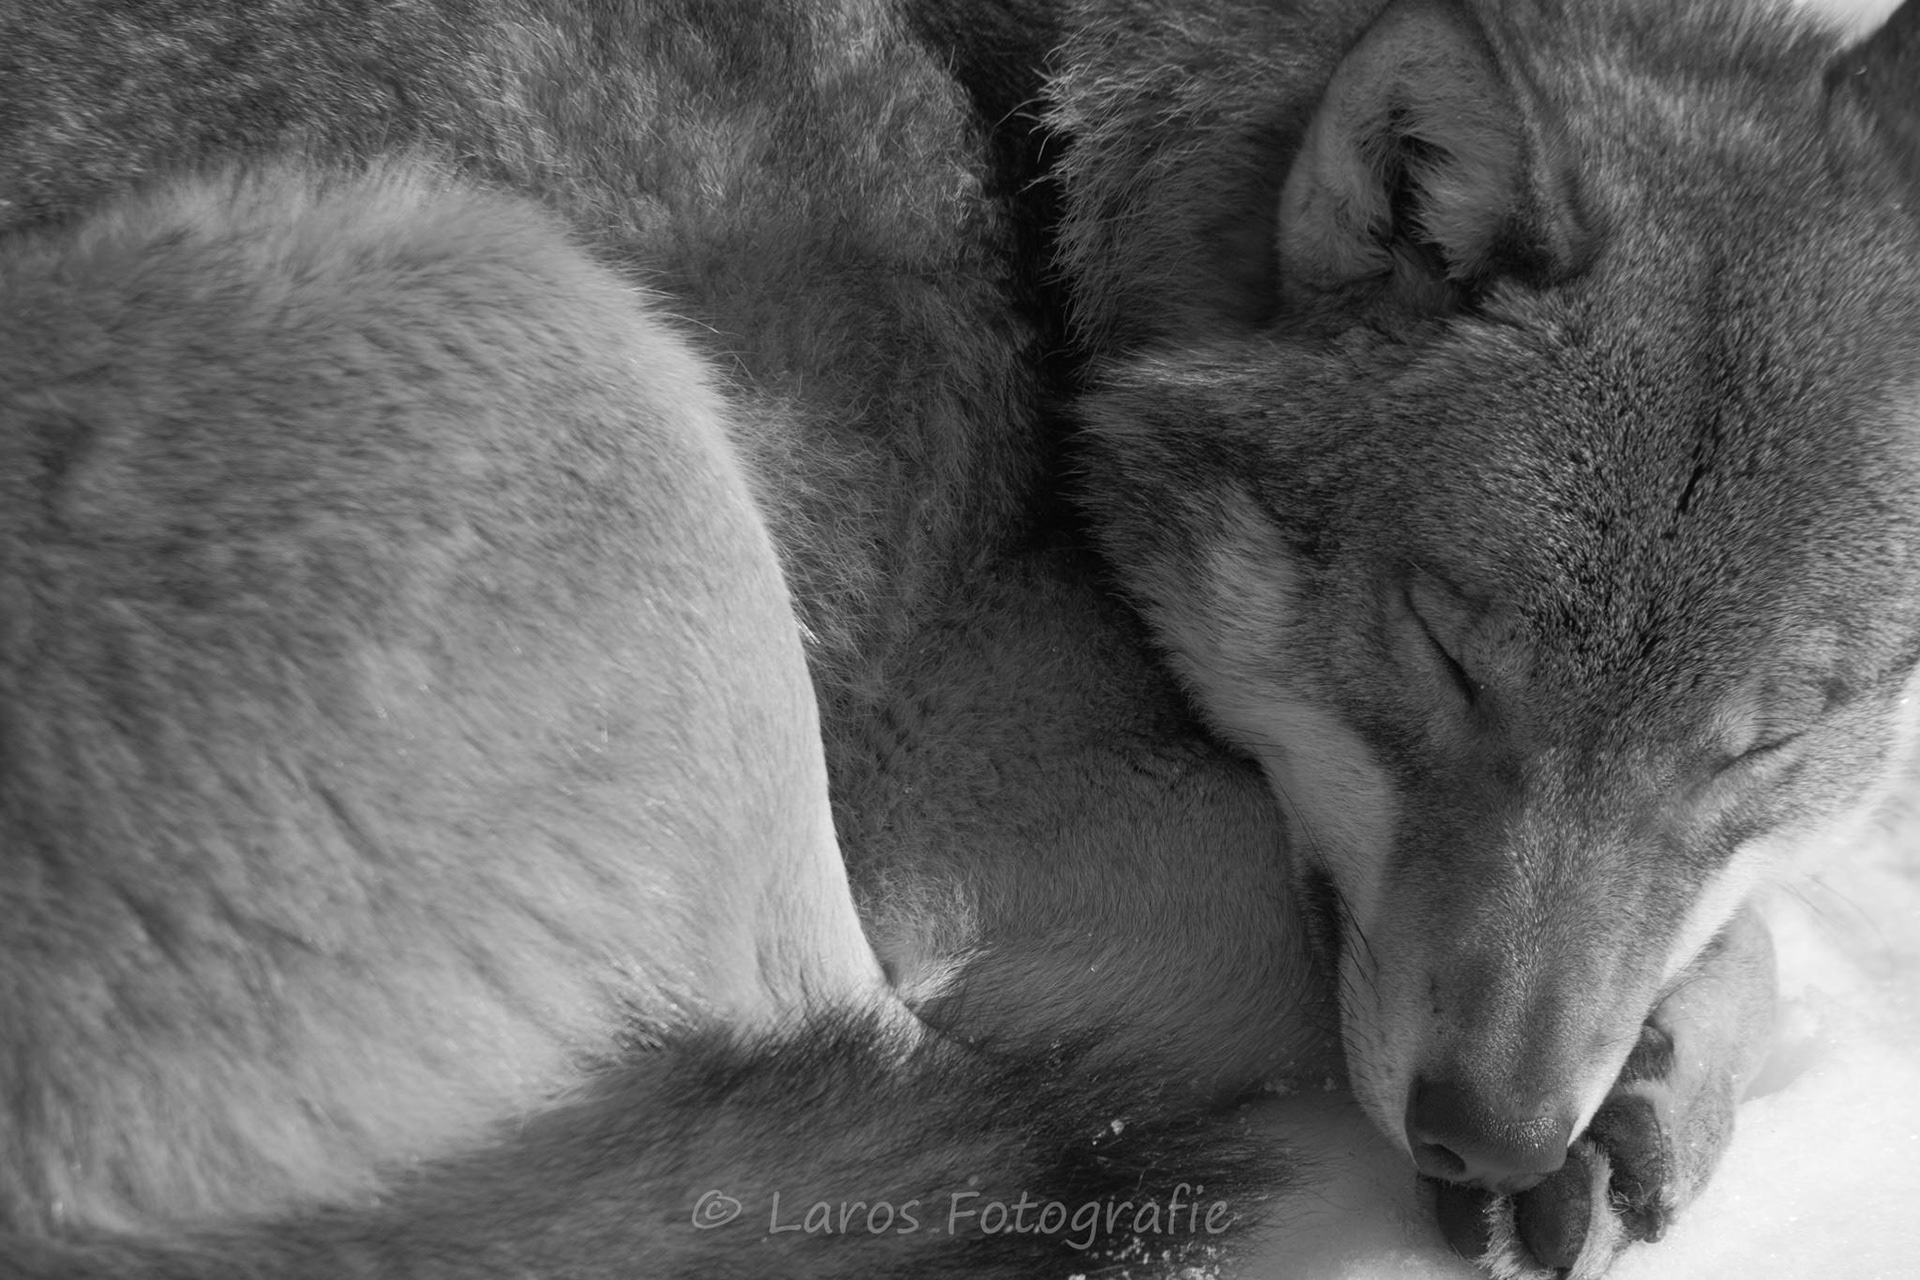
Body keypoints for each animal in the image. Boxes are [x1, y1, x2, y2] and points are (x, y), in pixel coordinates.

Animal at [1, 2, 1915, 1280]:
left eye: (1765, 740)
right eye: (1444, 652)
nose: (1489, 1129)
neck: (1066, 215)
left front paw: (1643, 1103)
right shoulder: (951, 840)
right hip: (545, 340)